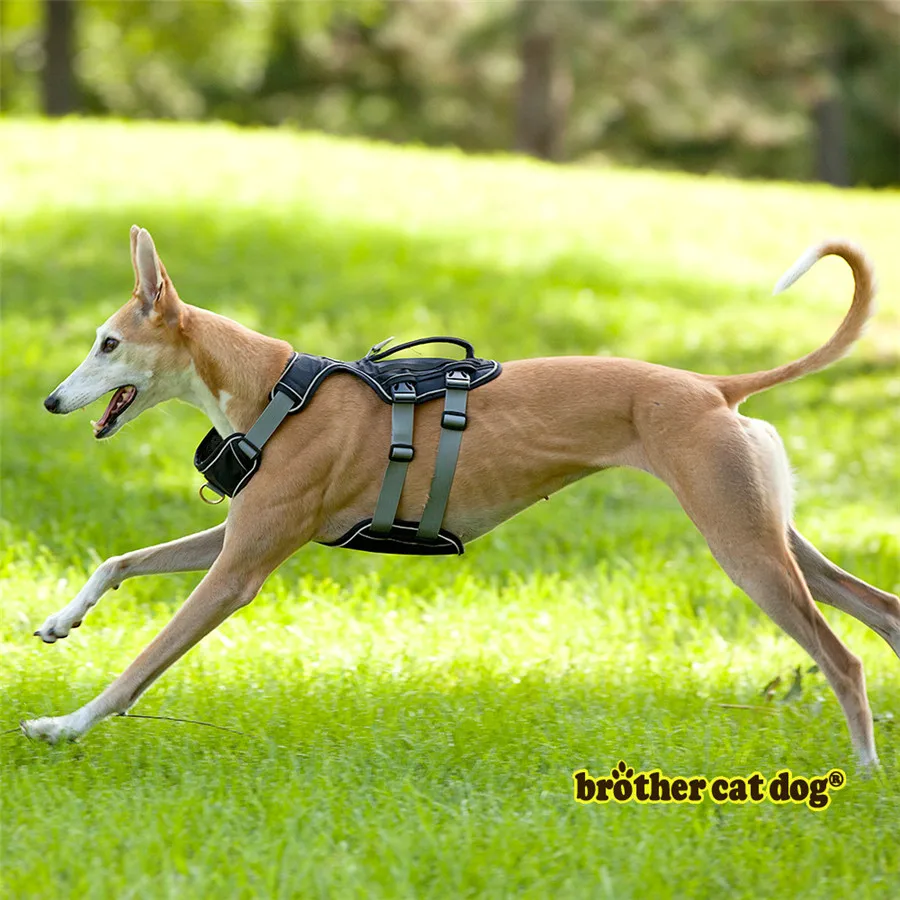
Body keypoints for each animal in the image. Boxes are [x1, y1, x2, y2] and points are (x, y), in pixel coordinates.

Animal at [24, 225, 896, 768]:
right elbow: (119, 561)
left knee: (845, 659)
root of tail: (715, 388)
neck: (275, 389)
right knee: (881, 611)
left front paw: (62, 725)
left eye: (108, 343)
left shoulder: (239, 572)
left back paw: (861, 771)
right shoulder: (242, 534)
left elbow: (140, 666)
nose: (51, 403)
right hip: (770, 533)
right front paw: (63, 620)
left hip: (744, 548)